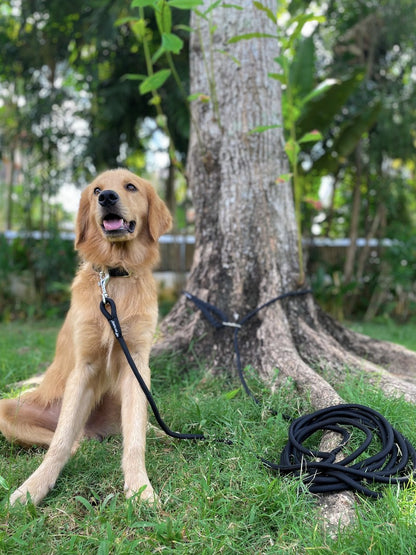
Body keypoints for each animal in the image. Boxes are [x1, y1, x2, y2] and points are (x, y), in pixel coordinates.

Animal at [0, 167, 171, 506]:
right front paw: (33, 487)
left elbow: (135, 439)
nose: (107, 197)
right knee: (73, 439)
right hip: (7, 410)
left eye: (131, 186)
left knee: (135, 427)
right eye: (96, 190)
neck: (114, 278)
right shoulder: (84, 366)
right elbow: (60, 441)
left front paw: (140, 488)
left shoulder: (136, 365)